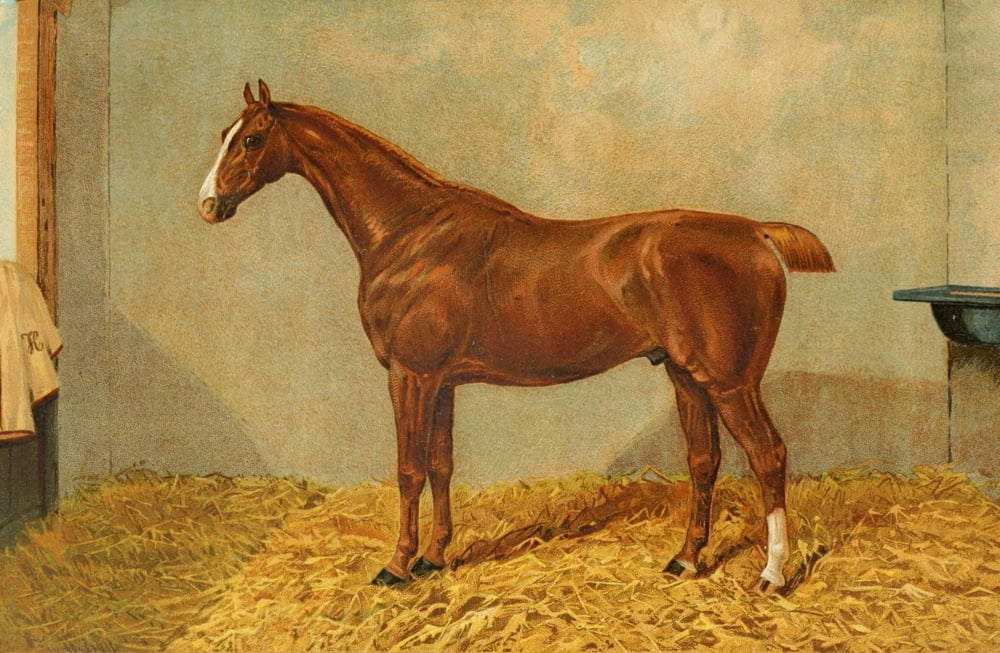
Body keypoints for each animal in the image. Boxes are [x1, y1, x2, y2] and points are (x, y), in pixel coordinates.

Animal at [198, 80, 834, 594]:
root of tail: (755, 232)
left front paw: (397, 566)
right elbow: (441, 465)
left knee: (768, 456)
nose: (208, 204)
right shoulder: (442, 382)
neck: (410, 232)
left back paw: (773, 575)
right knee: (705, 461)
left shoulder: (410, 376)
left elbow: (408, 470)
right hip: (685, 375)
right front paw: (435, 557)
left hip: (731, 382)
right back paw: (685, 561)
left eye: (251, 139)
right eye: (224, 135)